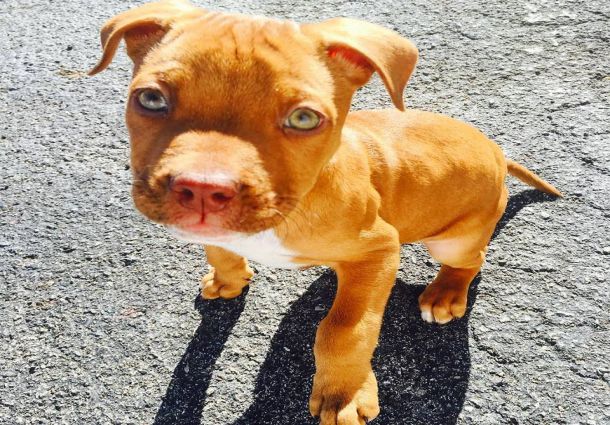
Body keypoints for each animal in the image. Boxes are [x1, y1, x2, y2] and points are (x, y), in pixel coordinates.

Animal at [88, 1, 560, 422]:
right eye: (151, 99)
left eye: (303, 118)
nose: (203, 190)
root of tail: (497, 152)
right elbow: (219, 250)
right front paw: (228, 279)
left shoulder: (379, 248)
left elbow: (343, 331)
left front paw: (343, 395)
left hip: (454, 240)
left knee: (471, 260)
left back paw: (445, 293)